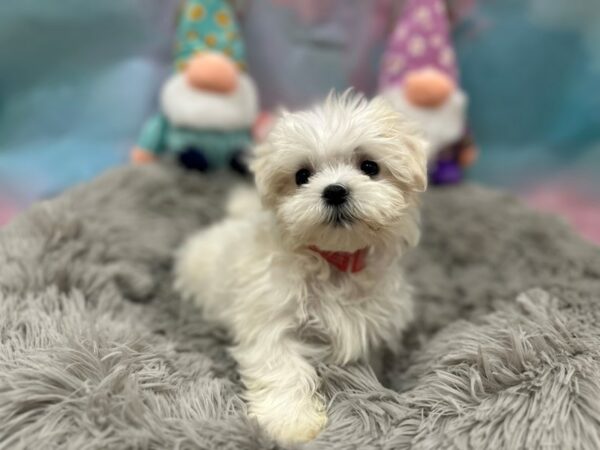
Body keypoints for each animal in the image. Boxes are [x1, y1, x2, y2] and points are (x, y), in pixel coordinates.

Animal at [176, 91, 428, 442]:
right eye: (302, 176)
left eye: (369, 166)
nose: (334, 190)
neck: (335, 261)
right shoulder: (272, 318)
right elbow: (282, 367)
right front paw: (290, 422)